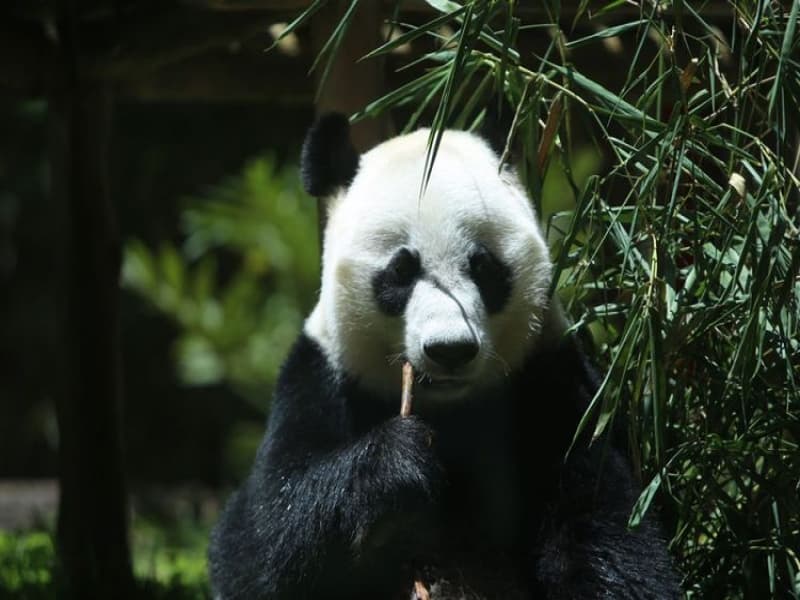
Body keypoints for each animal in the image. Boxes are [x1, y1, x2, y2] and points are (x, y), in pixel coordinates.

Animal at [208, 113, 680, 600]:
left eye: (483, 266)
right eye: (401, 270)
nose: (450, 349)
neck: (449, 409)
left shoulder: (554, 384)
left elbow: (607, 532)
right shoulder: (320, 379)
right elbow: (262, 539)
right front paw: (398, 465)